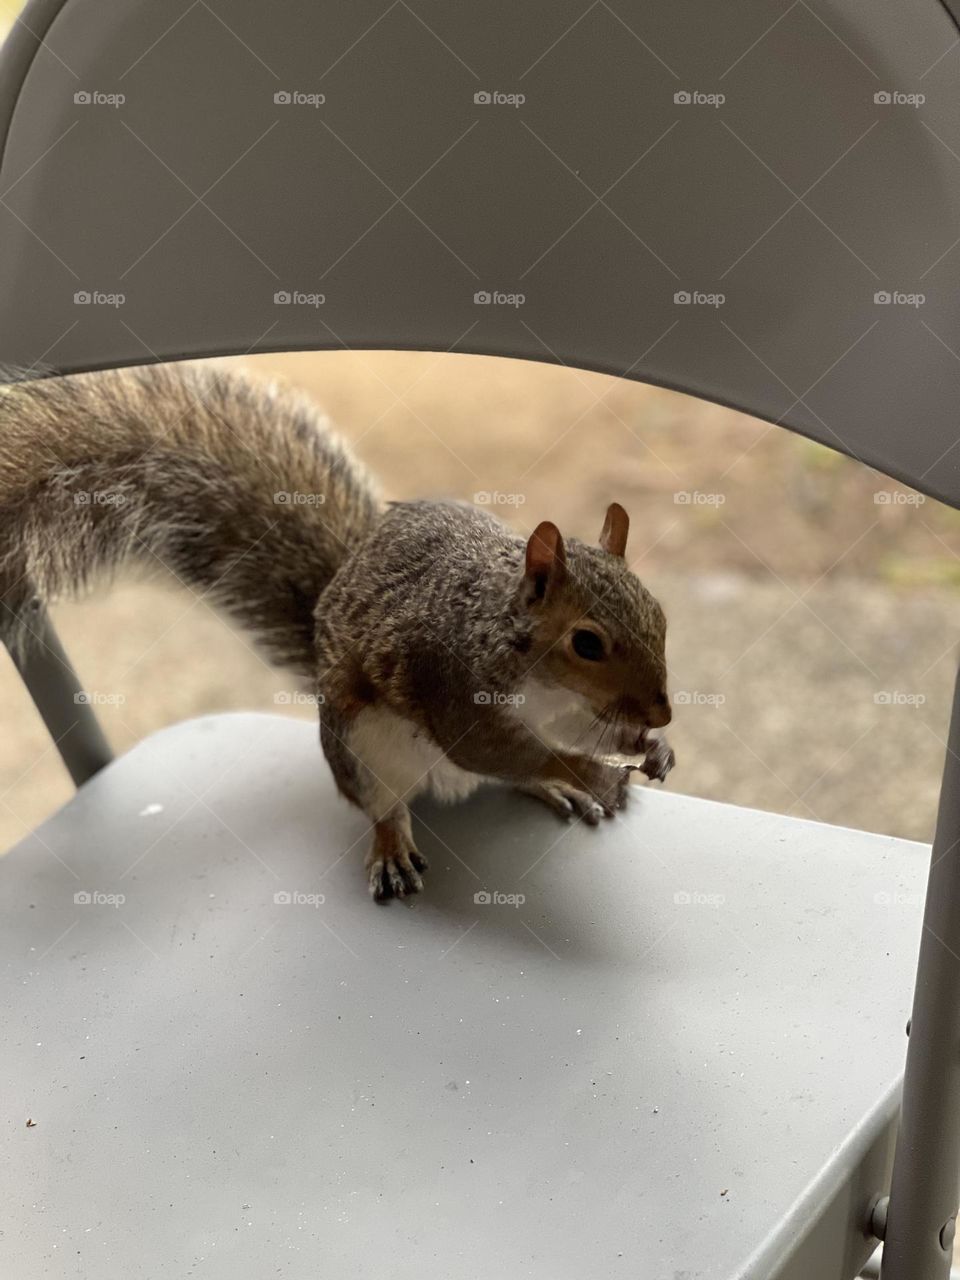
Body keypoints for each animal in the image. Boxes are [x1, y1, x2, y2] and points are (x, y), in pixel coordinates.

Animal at [0, 362, 674, 901]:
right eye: (587, 643)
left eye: (660, 614)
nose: (664, 712)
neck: (540, 679)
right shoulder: (451, 685)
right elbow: (503, 748)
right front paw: (595, 772)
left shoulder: (570, 711)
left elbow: (563, 740)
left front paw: (646, 747)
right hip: (359, 746)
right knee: (387, 805)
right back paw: (394, 847)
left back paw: (554, 788)